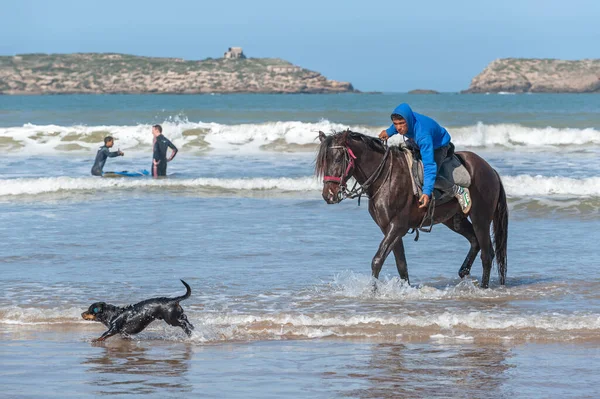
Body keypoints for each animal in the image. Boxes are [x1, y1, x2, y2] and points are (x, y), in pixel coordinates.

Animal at [314, 130, 506, 290]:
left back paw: (483, 288)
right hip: (452, 220)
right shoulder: (389, 228)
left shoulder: (397, 226)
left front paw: (373, 291)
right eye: (323, 161)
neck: (385, 177)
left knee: (487, 254)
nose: (328, 195)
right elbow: (401, 264)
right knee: (475, 241)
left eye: (338, 159)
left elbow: (377, 260)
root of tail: (490, 170)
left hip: (481, 218)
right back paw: (464, 270)